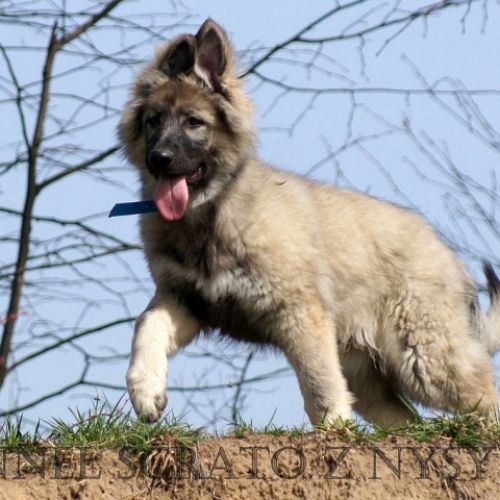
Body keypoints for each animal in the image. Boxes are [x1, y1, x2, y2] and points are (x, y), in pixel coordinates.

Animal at [118, 19, 500, 426]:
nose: (159, 159)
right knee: (407, 421)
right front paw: (146, 391)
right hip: (367, 373)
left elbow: (319, 383)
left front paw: (334, 429)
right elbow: (145, 328)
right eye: (154, 121)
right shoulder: (182, 298)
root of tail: (445, 251)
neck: (212, 212)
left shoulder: (299, 314)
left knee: (482, 392)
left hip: (425, 358)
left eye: (194, 123)